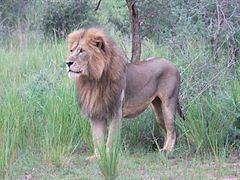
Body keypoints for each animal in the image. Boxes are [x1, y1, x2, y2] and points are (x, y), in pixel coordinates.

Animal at [65, 27, 184, 160]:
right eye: (71, 50)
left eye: (82, 51)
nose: (67, 63)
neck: (92, 81)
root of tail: (173, 65)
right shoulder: (96, 113)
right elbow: (97, 139)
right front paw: (98, 157)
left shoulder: (116, 112)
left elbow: (110, 139)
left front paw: (109, 157)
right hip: (158, 110)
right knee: (169, 129)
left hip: (169, 103)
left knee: (172, 129)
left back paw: (167, 151)